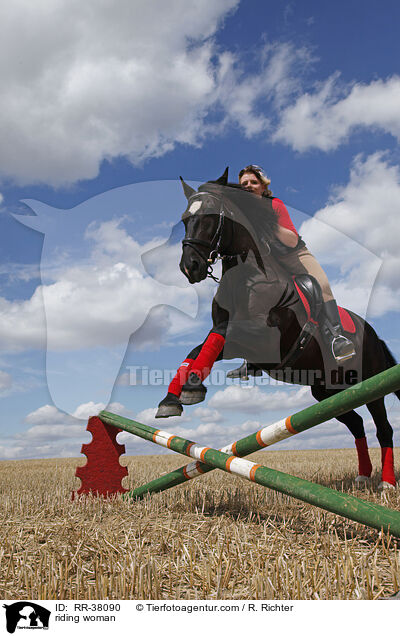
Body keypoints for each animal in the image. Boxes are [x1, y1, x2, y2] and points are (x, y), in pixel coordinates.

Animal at [155, 169, 396, 486]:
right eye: (185, 219)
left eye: (211, 217)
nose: (189, 267)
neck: (246, 276)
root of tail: (373, 334)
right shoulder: (239, 341)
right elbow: (200, 347)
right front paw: (172, 398)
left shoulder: (261, 338)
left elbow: (217, 335)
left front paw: (191, 386)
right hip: (326, 391)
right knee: (356, 424)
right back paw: (363, 476)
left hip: (370, 382)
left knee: (383, 427)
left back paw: (386, 481)